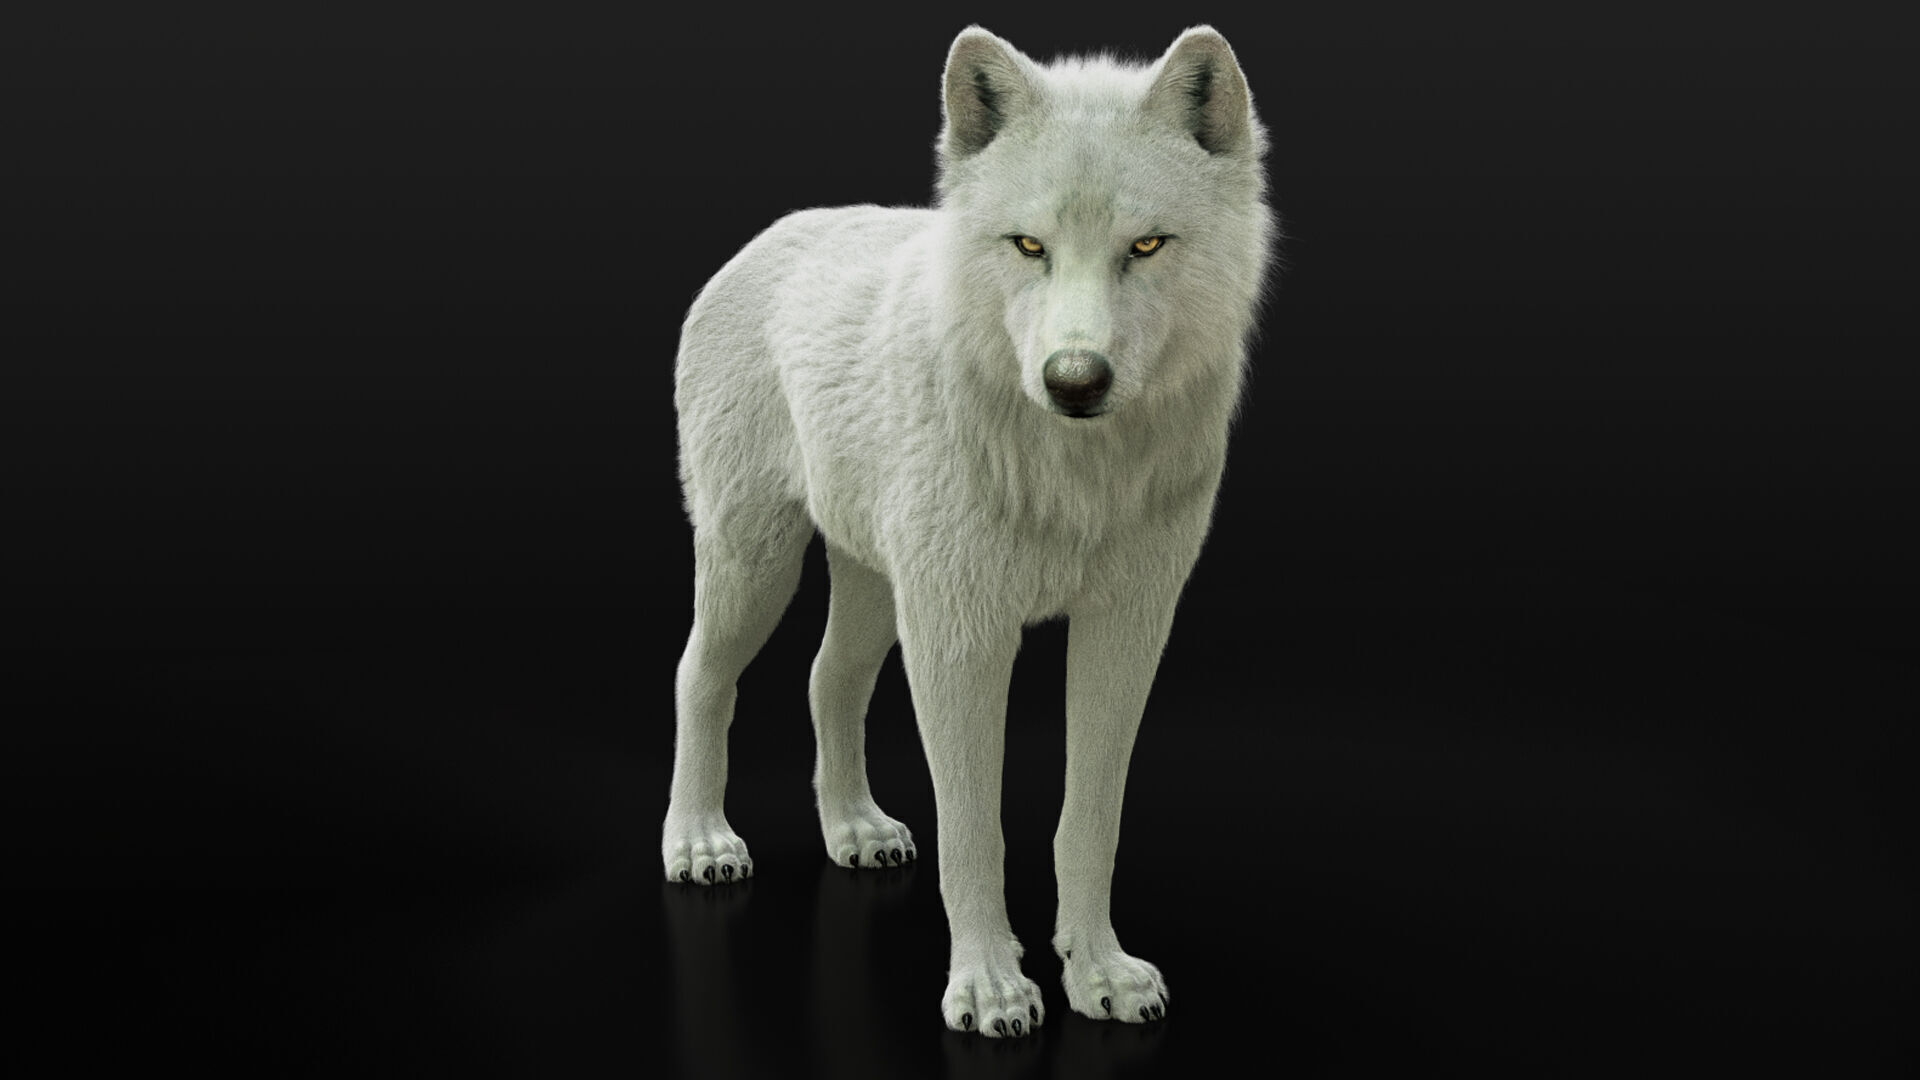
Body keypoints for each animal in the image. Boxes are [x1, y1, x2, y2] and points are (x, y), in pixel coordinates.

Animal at [661, 25, 1274, 1037]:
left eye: (1146, 245)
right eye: (1028, 246)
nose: (1075, 380)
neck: (1074, 476)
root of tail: (769, 234)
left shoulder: (1126, 627)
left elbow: (1089, 819)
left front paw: (1098, 972)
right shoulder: (962, 636)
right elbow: (973, 826)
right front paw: (988, 987)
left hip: (874, 585)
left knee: (827, 678)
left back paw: (854, 829)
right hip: (757, 564)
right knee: (700, 676)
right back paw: (701, 842)